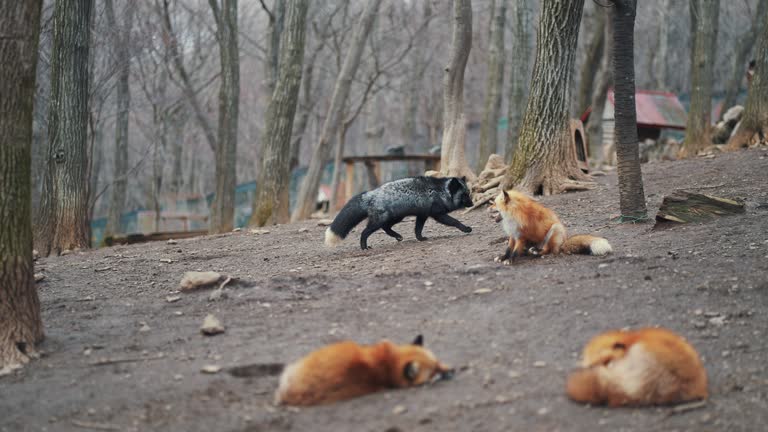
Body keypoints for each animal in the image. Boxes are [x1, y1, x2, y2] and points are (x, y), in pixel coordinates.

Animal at [324, 176, 474, 250]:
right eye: (465, 195)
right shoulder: (437, 214)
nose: (472, 204)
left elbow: (418, 230)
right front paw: (466, 228)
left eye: (469, 193)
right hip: (380, 221)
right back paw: (364, 247)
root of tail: (370, 194)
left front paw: (420, 239)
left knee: (386, 228)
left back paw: (397, 236)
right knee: (364, 232)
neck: (441, 192)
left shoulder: (422, 215)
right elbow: (454, 221)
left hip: (396, 218)